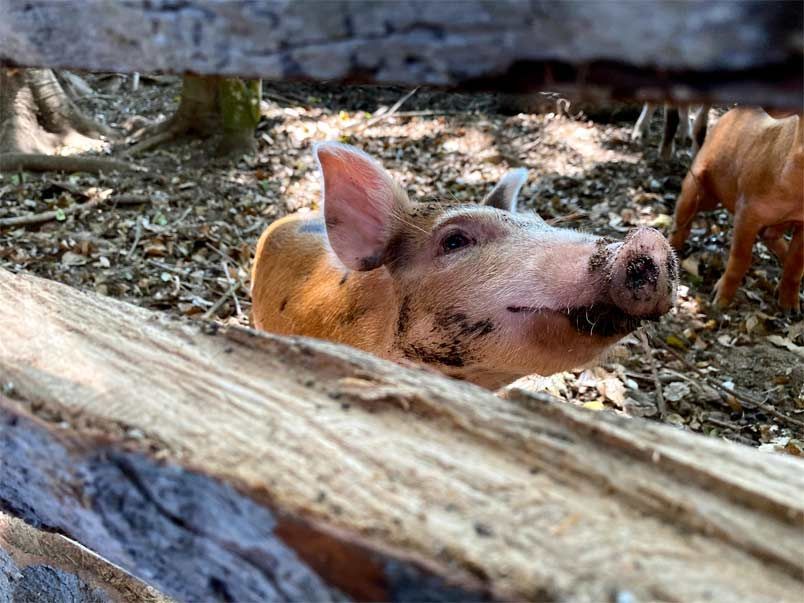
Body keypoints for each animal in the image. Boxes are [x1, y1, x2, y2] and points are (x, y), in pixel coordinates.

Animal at [669, 107, 804, 312]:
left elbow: (795, 264)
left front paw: (791, 309)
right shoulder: (747, 207)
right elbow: (740, 258)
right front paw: (719, 302)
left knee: (770, 236)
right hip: (698, 181)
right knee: (682, 218)